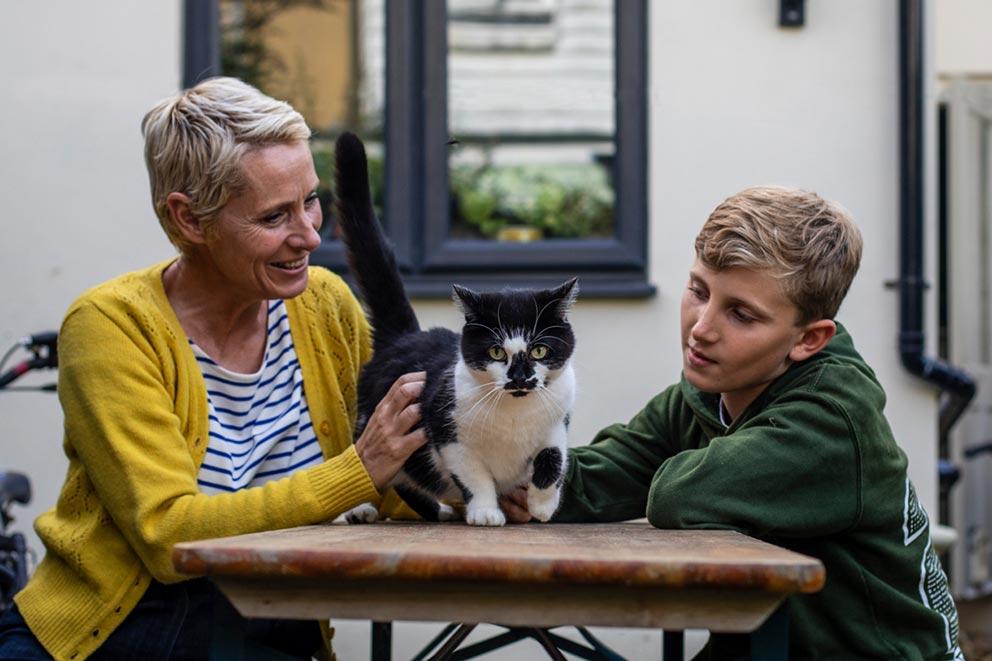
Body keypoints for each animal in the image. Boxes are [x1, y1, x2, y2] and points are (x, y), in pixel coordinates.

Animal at [336, 131, 576, 524]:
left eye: (539, 349)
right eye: (496, 351)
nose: (520, 377)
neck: (514, 414)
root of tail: (407, 335)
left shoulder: (558, 421)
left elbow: (552, 457)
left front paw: (542, 505)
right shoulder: (447, 433)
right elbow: (475, 477)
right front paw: (486, 512)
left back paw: (438, 510)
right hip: (372, 421)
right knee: (377, 466)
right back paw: (363, 509)